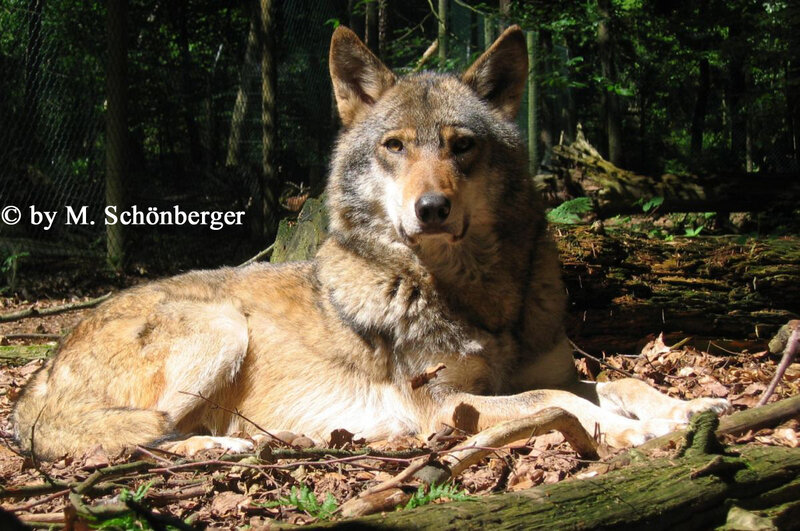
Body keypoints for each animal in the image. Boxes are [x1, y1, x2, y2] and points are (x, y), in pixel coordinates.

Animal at [12, 26, 729, 459]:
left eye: (460, 145)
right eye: (395, 146)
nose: (431, 208)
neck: (474, 296)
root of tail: (36, 377)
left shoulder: (550, 369)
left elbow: (619, 381)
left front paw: (688, 404)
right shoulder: (445, 407)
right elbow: (563, 403)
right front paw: (641, 430)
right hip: (220, 328)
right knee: (131, 440)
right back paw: (225, 447)